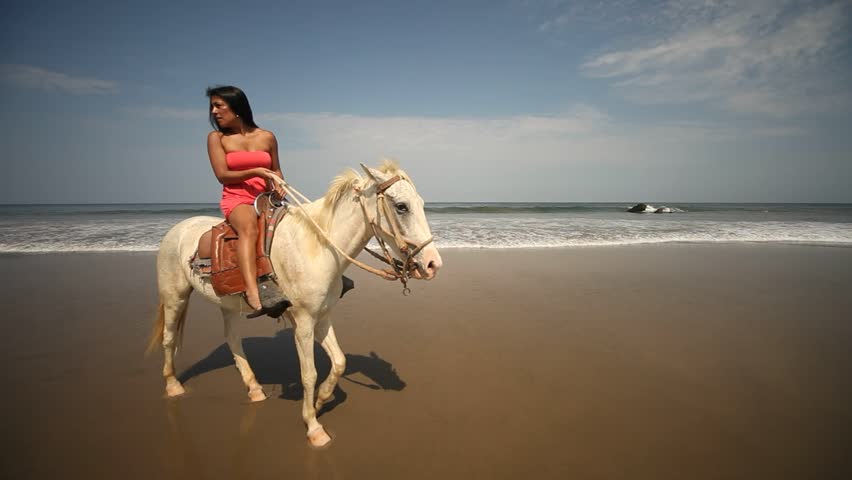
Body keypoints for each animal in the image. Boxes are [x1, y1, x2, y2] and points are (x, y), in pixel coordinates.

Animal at [148, 161, 440, 446]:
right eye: (401, 206)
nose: (432, 264)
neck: (318, 247)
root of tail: (177, 229)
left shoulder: (323, 317)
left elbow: (339, 362)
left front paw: (321, 400)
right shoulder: (303, 322)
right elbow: (309, 373)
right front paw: (313, 426)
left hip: (228, 305)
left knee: (232, 340)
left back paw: (254, 389)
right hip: (175, 296)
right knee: (169, 338)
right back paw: (173, 385)